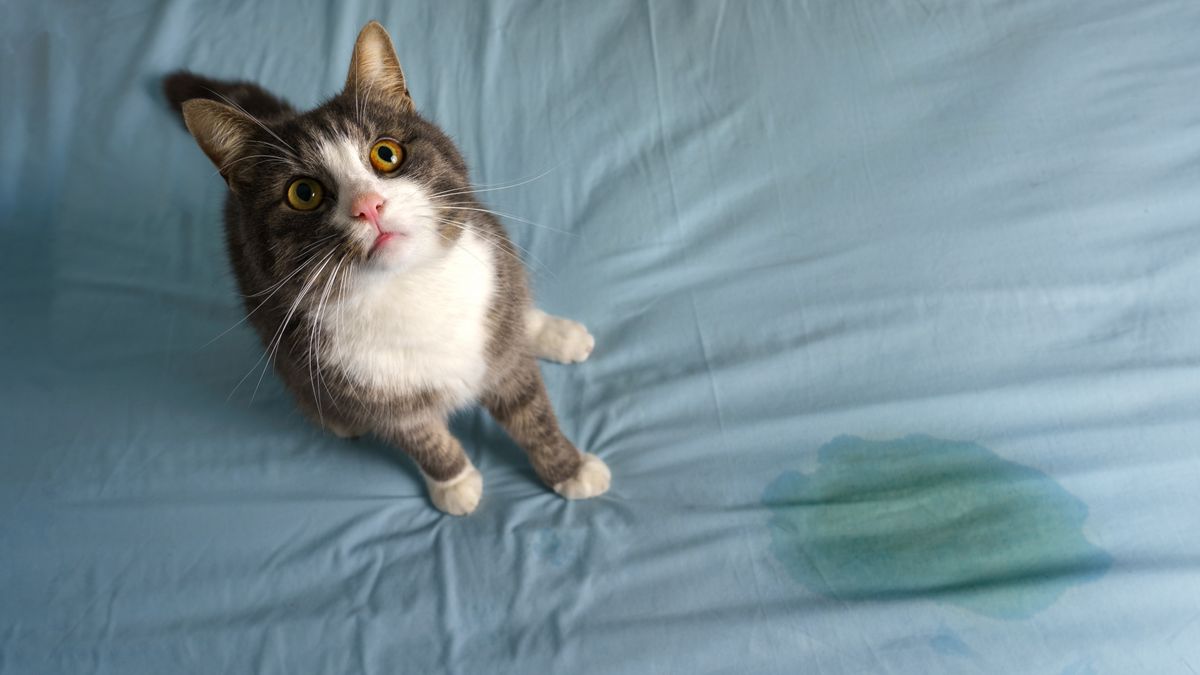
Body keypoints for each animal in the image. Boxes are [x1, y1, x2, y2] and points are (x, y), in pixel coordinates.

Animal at [163, 22, 609, 514]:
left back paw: (553, 332)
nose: (368, 205)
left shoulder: (497, 318)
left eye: (386, 154)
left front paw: (569, 467)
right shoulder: (355, 381)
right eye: (303, 193)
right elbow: (419, 436)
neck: (410, 288)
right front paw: (454, 482)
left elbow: (531, 410)